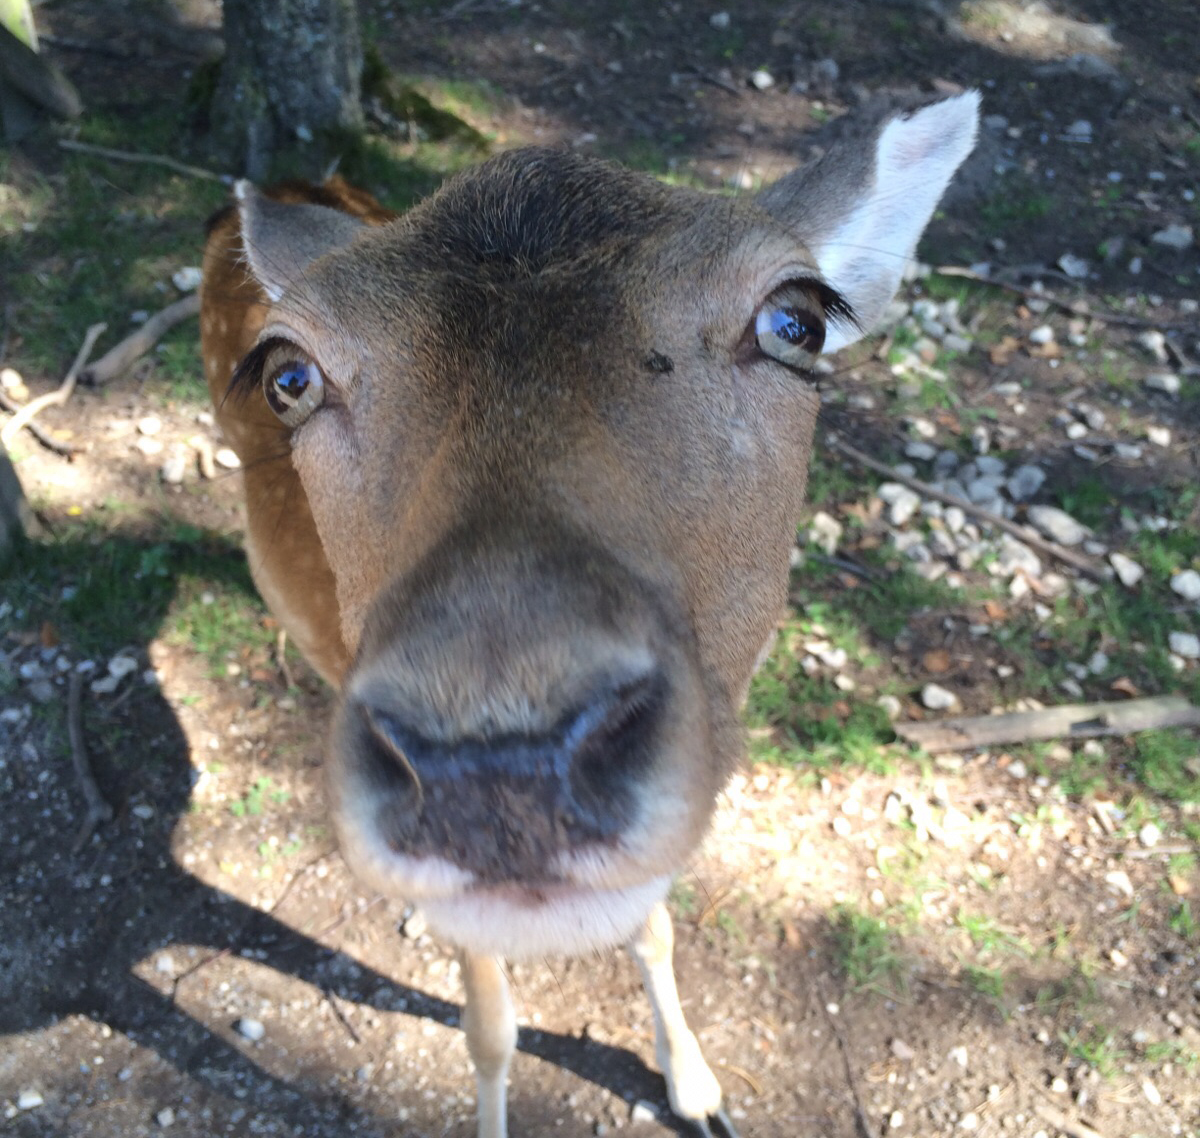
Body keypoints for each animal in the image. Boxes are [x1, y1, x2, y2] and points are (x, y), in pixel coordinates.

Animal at [201, 95, 979, 1138]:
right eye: (288, 373)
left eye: (798, 321)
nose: (499, 774)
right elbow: (488, 1023)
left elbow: (651, 926)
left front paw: (697, 1089)